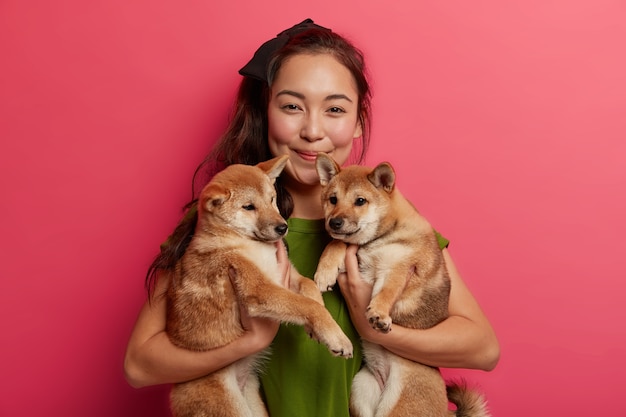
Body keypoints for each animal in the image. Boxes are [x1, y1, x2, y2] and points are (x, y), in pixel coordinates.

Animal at [166, 155, 352, 416]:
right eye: (248, 207)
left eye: (271, 199)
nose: (282, 227)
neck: (245, 242)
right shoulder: (259, 289)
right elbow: (308, 306)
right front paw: (336, 337)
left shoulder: (287, 274)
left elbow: (309, 290)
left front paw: (319, 328)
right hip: (229, 408)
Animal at [312, 153, 488, 416]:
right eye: (333, 199)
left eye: (360, 201)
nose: (334, 223)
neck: (381, 237)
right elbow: (336, 244)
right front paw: (325, 271)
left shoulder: (398, 268)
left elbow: (387, 291)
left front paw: (379, 313)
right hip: (362, 388)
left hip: (399, 405)